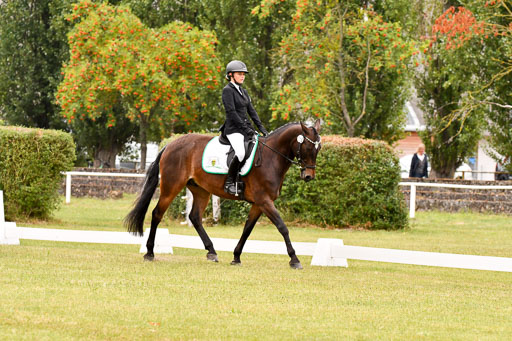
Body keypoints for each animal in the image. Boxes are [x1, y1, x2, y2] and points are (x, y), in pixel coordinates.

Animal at [124, 119, 322, 268]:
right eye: (307, 148)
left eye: (318, 149)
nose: (309, 176)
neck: (270, 158)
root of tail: (170, 145)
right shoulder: (264, 200)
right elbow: (282, 227)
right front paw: (294, 259)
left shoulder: (258, 204)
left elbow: (247, 229)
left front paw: (236, 257)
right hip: (171, 187)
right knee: (157, 214)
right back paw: (150, 253)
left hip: (201, 190)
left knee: (195, 217)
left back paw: (211, 252)